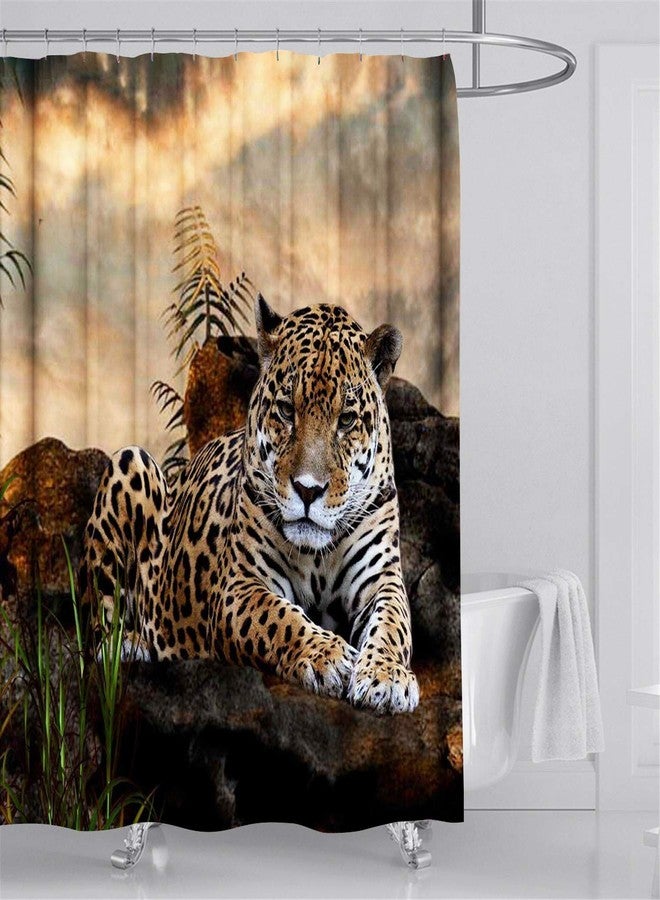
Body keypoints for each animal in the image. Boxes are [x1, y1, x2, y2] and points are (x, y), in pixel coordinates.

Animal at [81, 297, 419, 714]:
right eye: (287, 410)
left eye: (347, 419)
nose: (308, 490)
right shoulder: (240, 587)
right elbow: (279, 618)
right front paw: (328, 656)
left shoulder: (381, 580)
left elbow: (392, 625)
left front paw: (386, 678)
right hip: (130, 461)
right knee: (99, 631)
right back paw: (132, 645)